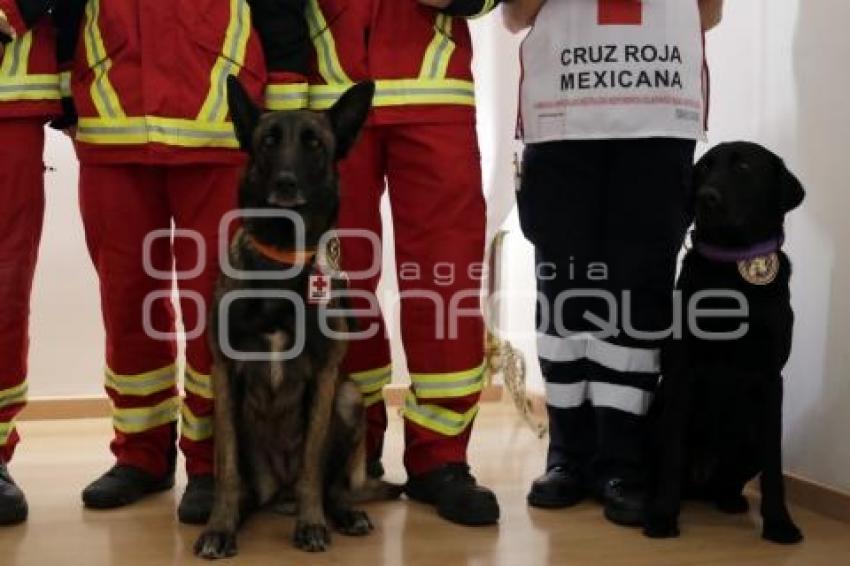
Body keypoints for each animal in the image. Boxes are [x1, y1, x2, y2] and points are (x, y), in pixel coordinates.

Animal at [194, 77, 400, 560]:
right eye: (269, 142)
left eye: (314, 144)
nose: (286, 182)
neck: (281, 261)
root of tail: (278, 493)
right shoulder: (223, 372)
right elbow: (228, 471)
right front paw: (220, 528)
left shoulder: (324, 377)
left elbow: (311, 463)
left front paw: (312, 524)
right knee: (246, 485)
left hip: (349, 397)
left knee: (332, 486)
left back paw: (341, 513)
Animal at [644, 142, 804, 544]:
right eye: (702, 169)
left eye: (744, 167)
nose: (706, 197)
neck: (732, 270)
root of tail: (701, 483)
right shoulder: (683, 373)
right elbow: (672, 454)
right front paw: (663, 517)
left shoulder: (771, 378)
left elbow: (775, 466)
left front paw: (779, 523)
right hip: (654, 418)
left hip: (749, 439)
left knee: (729, 483)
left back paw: (731, 501)